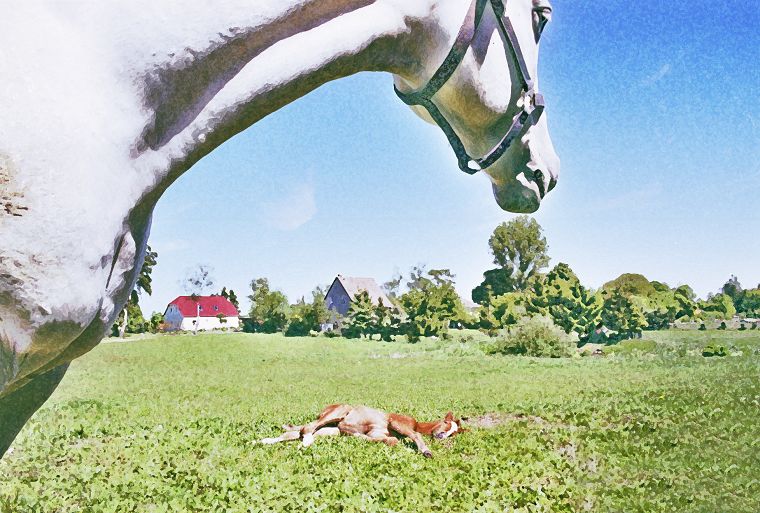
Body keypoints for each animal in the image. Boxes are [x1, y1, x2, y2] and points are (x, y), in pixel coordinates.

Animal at [262, 404, 464, 456]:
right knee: (306, 428)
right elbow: (412, 435)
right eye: (446, 424)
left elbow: (386, 440)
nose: (442, 436)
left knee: (297, 432)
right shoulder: (396, 422)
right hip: (338, 411)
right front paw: (426, 451)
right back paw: (305, 443)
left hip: (328, 430)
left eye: (453, 433)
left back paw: (264, 441)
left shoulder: (375, 433)